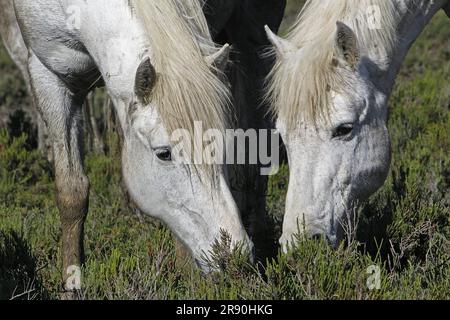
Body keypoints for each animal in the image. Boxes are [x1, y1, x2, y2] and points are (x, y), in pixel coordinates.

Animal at [11, 0, 253, 290]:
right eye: (164, 154)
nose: (234, 253)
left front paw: (186, 279)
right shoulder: (48, 74)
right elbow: (72, 191)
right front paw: (72, 283)